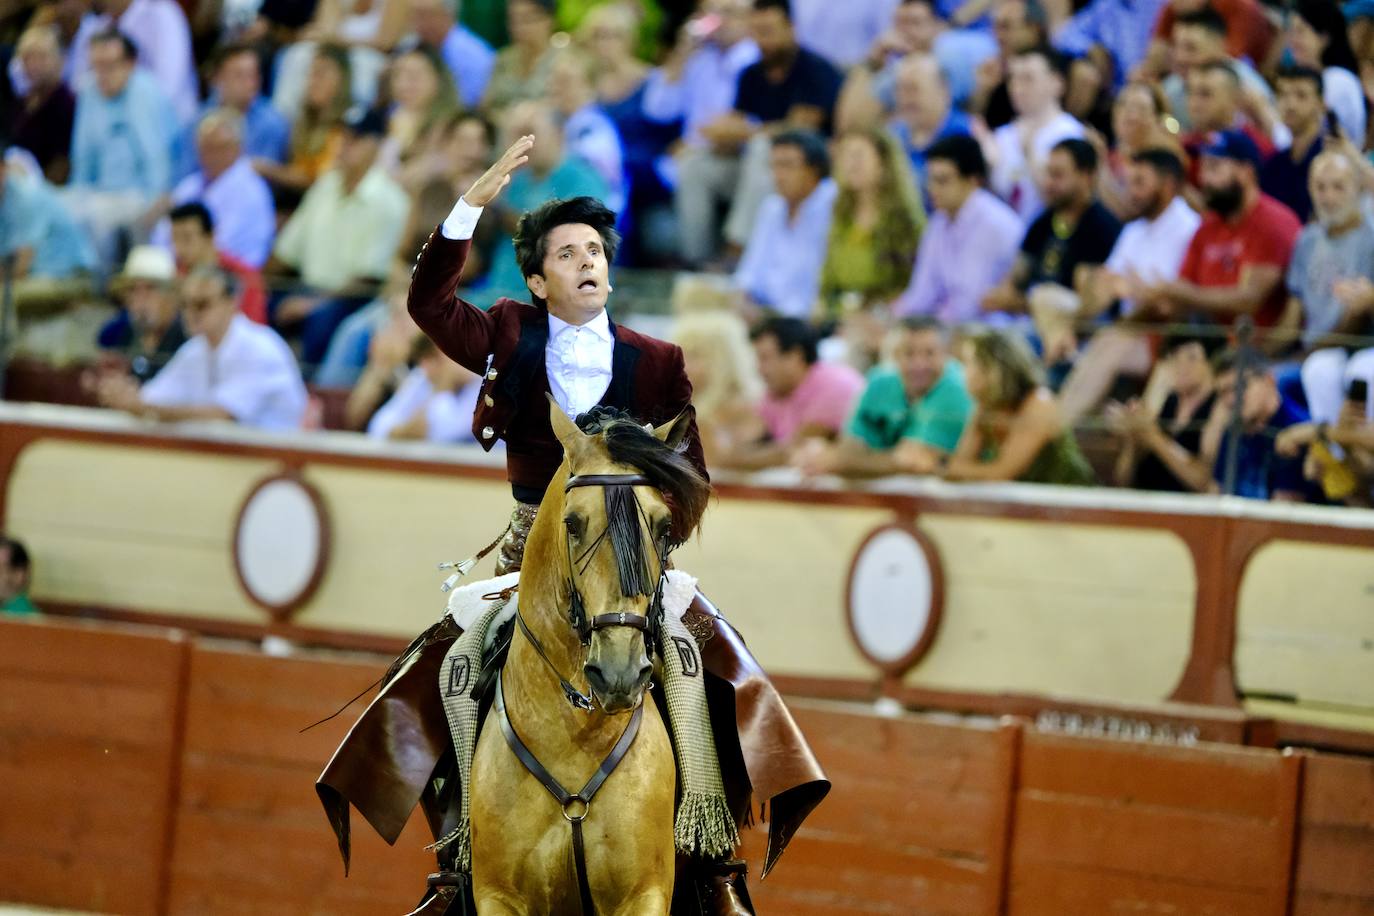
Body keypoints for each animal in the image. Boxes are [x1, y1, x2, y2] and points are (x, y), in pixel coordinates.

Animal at [469, 401, 708, 916]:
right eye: (572, 523)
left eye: (663, 526)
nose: (618, 673)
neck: (573, 734)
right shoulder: (498, 895)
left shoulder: (644, 893)